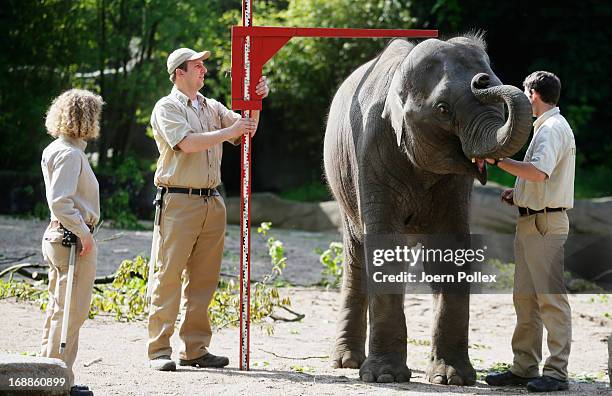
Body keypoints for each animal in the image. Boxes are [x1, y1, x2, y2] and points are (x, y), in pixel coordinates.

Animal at [322, 33, 532, 384]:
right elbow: (384, 246)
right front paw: (385, 377)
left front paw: (452, 379)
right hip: (343, 185)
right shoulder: (371, 153)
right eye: (443, 109)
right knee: (356, 251)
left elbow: (450, 249)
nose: (482, 79)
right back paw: (347, 363)